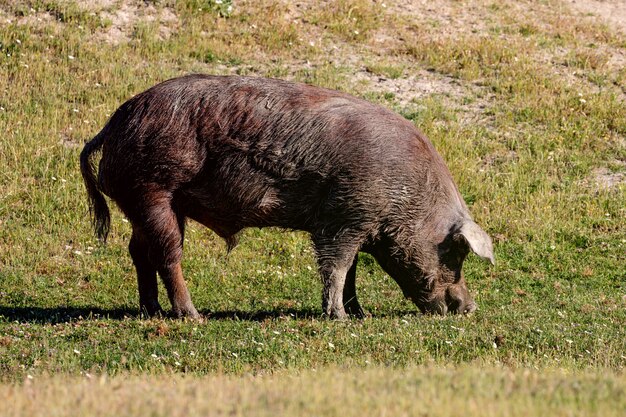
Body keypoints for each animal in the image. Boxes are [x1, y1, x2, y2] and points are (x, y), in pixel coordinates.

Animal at [80, 74, 492, 318]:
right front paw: (340, 318)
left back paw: (150, 311)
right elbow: (337, 266)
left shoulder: (348, 220)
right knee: (168, 254)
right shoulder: (345, 218)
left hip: (144, 203)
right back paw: (192, 316)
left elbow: (351, 269)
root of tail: (113, 124)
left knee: (139, 251)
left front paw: (359, 315)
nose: (469, 306)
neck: (410, 199)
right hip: (153, 190)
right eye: (455, 254)